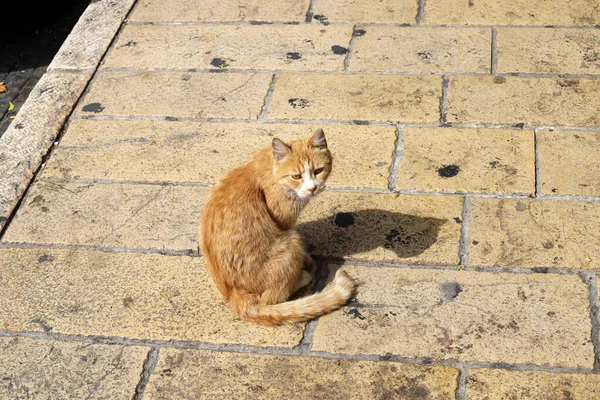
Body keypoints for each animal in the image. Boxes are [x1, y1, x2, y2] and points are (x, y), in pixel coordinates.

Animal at [199, 130, 354, 324]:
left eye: (318, 171)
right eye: (296, 176)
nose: (312, 189)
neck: (272, 168)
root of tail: (235, 297)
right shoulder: (284, 221)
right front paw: (305, 259)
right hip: (292, 242)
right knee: (272, 298)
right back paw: (302, 276)